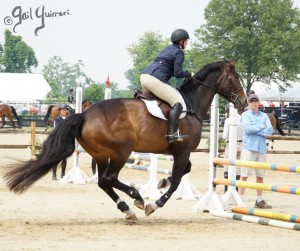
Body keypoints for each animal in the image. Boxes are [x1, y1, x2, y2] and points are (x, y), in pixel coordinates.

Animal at [2, 60, 246, 220]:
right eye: (236, 79)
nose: (243, 103)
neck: (191, 104)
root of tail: (85, 115)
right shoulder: (183, 150)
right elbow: (177, 180)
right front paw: (155, 203)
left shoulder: (179, 152)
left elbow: (183, 172)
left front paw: (160, 182)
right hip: (121, 152)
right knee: (109, 178)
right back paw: (136, 198)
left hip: (101, 154)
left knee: (103, 181)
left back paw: (127, 209)